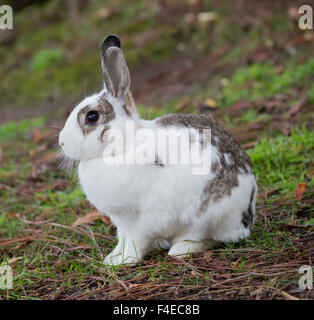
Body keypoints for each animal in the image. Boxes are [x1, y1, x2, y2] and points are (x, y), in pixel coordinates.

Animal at [59, 35, 258, 264]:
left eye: (91, 117)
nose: (61, 142)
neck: (123, 145)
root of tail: (246, 220)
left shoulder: (142, 219)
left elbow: (135, 242)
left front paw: (123, 262)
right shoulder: (121, 222)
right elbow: (122, 239)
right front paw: (111, 258)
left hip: (209, 217)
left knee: (211, 239)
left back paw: (181, 249)